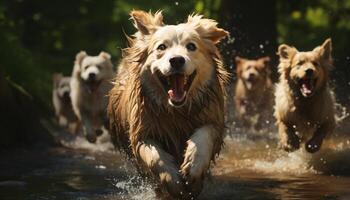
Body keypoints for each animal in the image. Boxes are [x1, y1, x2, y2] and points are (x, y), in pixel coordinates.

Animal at [108, 10, 231, 198]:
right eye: (161, 47)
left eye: (191, 46)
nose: (177, 60)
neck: (176, 113)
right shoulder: (142, 133)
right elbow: (156, 158)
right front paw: (173, 182)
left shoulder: (213, 120)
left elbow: (203, 137)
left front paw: (193, 167)